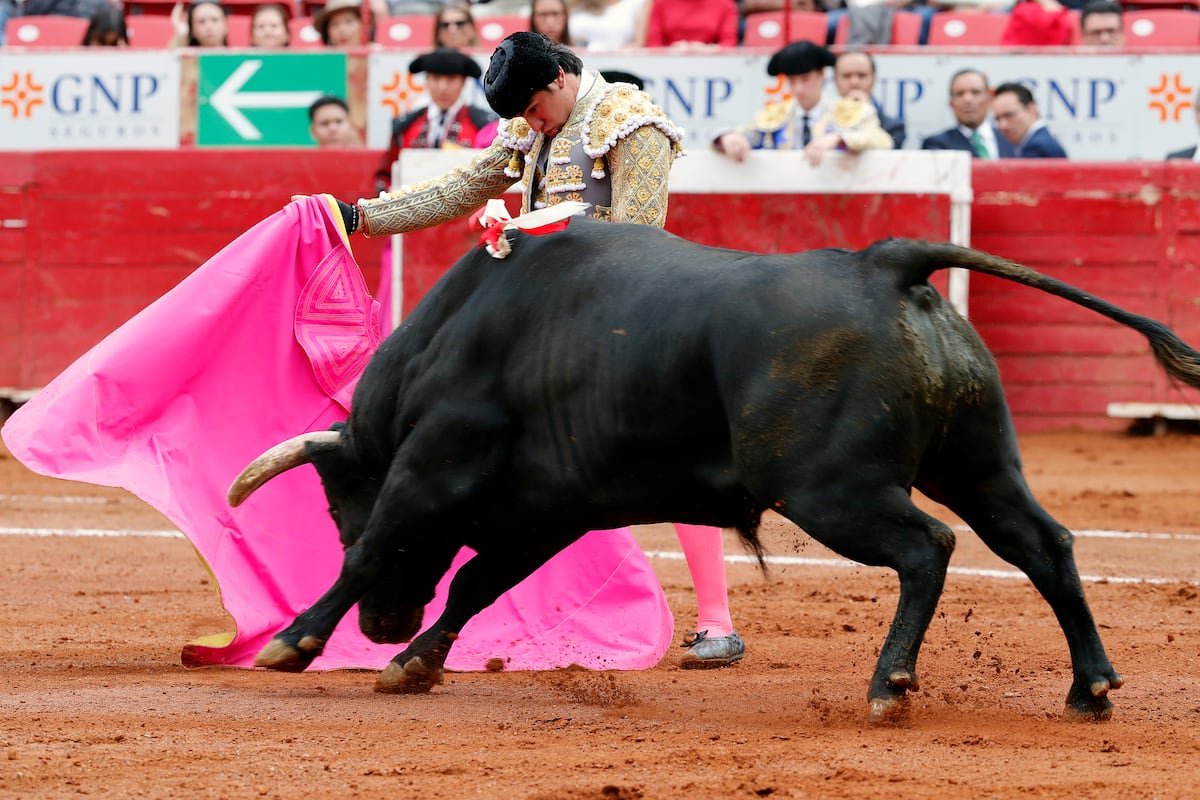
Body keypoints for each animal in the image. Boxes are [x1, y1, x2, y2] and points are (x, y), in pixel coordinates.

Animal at [226, 220, 1200, 724]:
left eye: (336, 506)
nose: (384, 626)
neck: (448, 341)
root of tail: (887, 265)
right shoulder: (548, 511)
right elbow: (474, 583)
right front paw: (414, 663)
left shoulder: (429, 472)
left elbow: (382, 558)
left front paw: (293, 643)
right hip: (980, 461)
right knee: (1043, 544)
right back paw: (1090, 687)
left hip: (831, 488)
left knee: (929, 547)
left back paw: (888, 686)